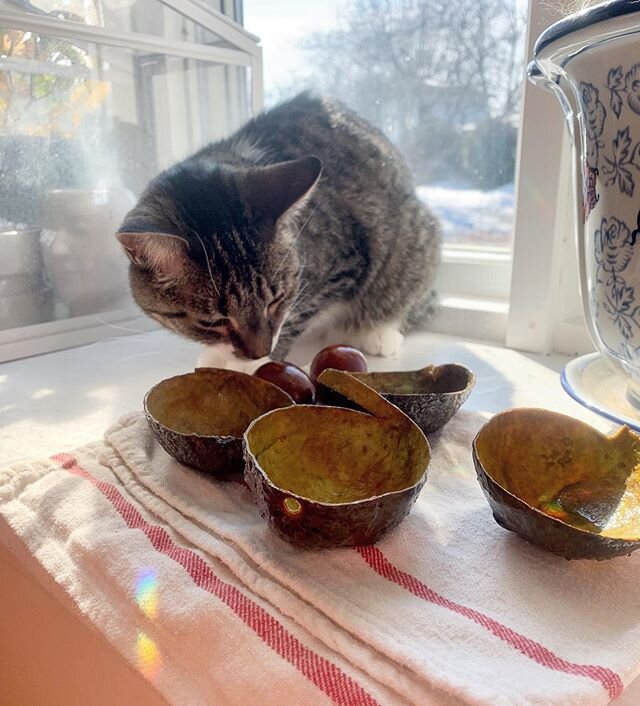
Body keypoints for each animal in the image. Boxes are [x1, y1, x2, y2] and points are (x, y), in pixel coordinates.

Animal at [116, 91, 440, 372]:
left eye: (275, 301)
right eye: (213, 322)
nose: (258, 352)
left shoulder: (342, 264)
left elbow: (298, 313)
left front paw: (251, 366)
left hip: (413, 245)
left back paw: (380, 331)